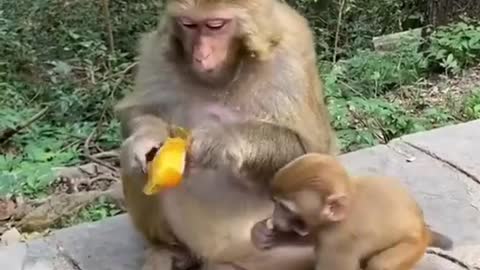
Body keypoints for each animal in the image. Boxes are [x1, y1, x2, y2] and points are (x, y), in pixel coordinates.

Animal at [115, 0, 336, 270]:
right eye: (188, 24)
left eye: (216, 25)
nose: (200, 56)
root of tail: (215, 256)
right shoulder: (159, 49)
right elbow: (139, 111)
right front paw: (146, 137)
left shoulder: (291, 57)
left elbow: (312, 151)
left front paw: (222, 140)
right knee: (135, 167)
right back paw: (169, 250)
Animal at [253, 153, 452, 268]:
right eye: (275, 203)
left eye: (285, 208)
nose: (276, 219)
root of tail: (423, 228)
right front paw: (265, 233)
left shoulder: (338, 242)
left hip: (413, 246)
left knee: (380, 265)